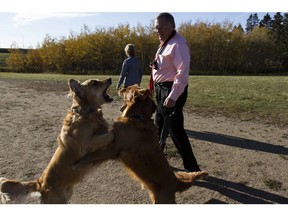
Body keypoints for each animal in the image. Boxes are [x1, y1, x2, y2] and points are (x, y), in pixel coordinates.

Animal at [72, 85, 207, 203]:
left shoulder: (114, 148)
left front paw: (77, 164)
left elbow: (93, 155)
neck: (137, 117)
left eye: (128, 89)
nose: (120, 87)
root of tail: (176, 182)